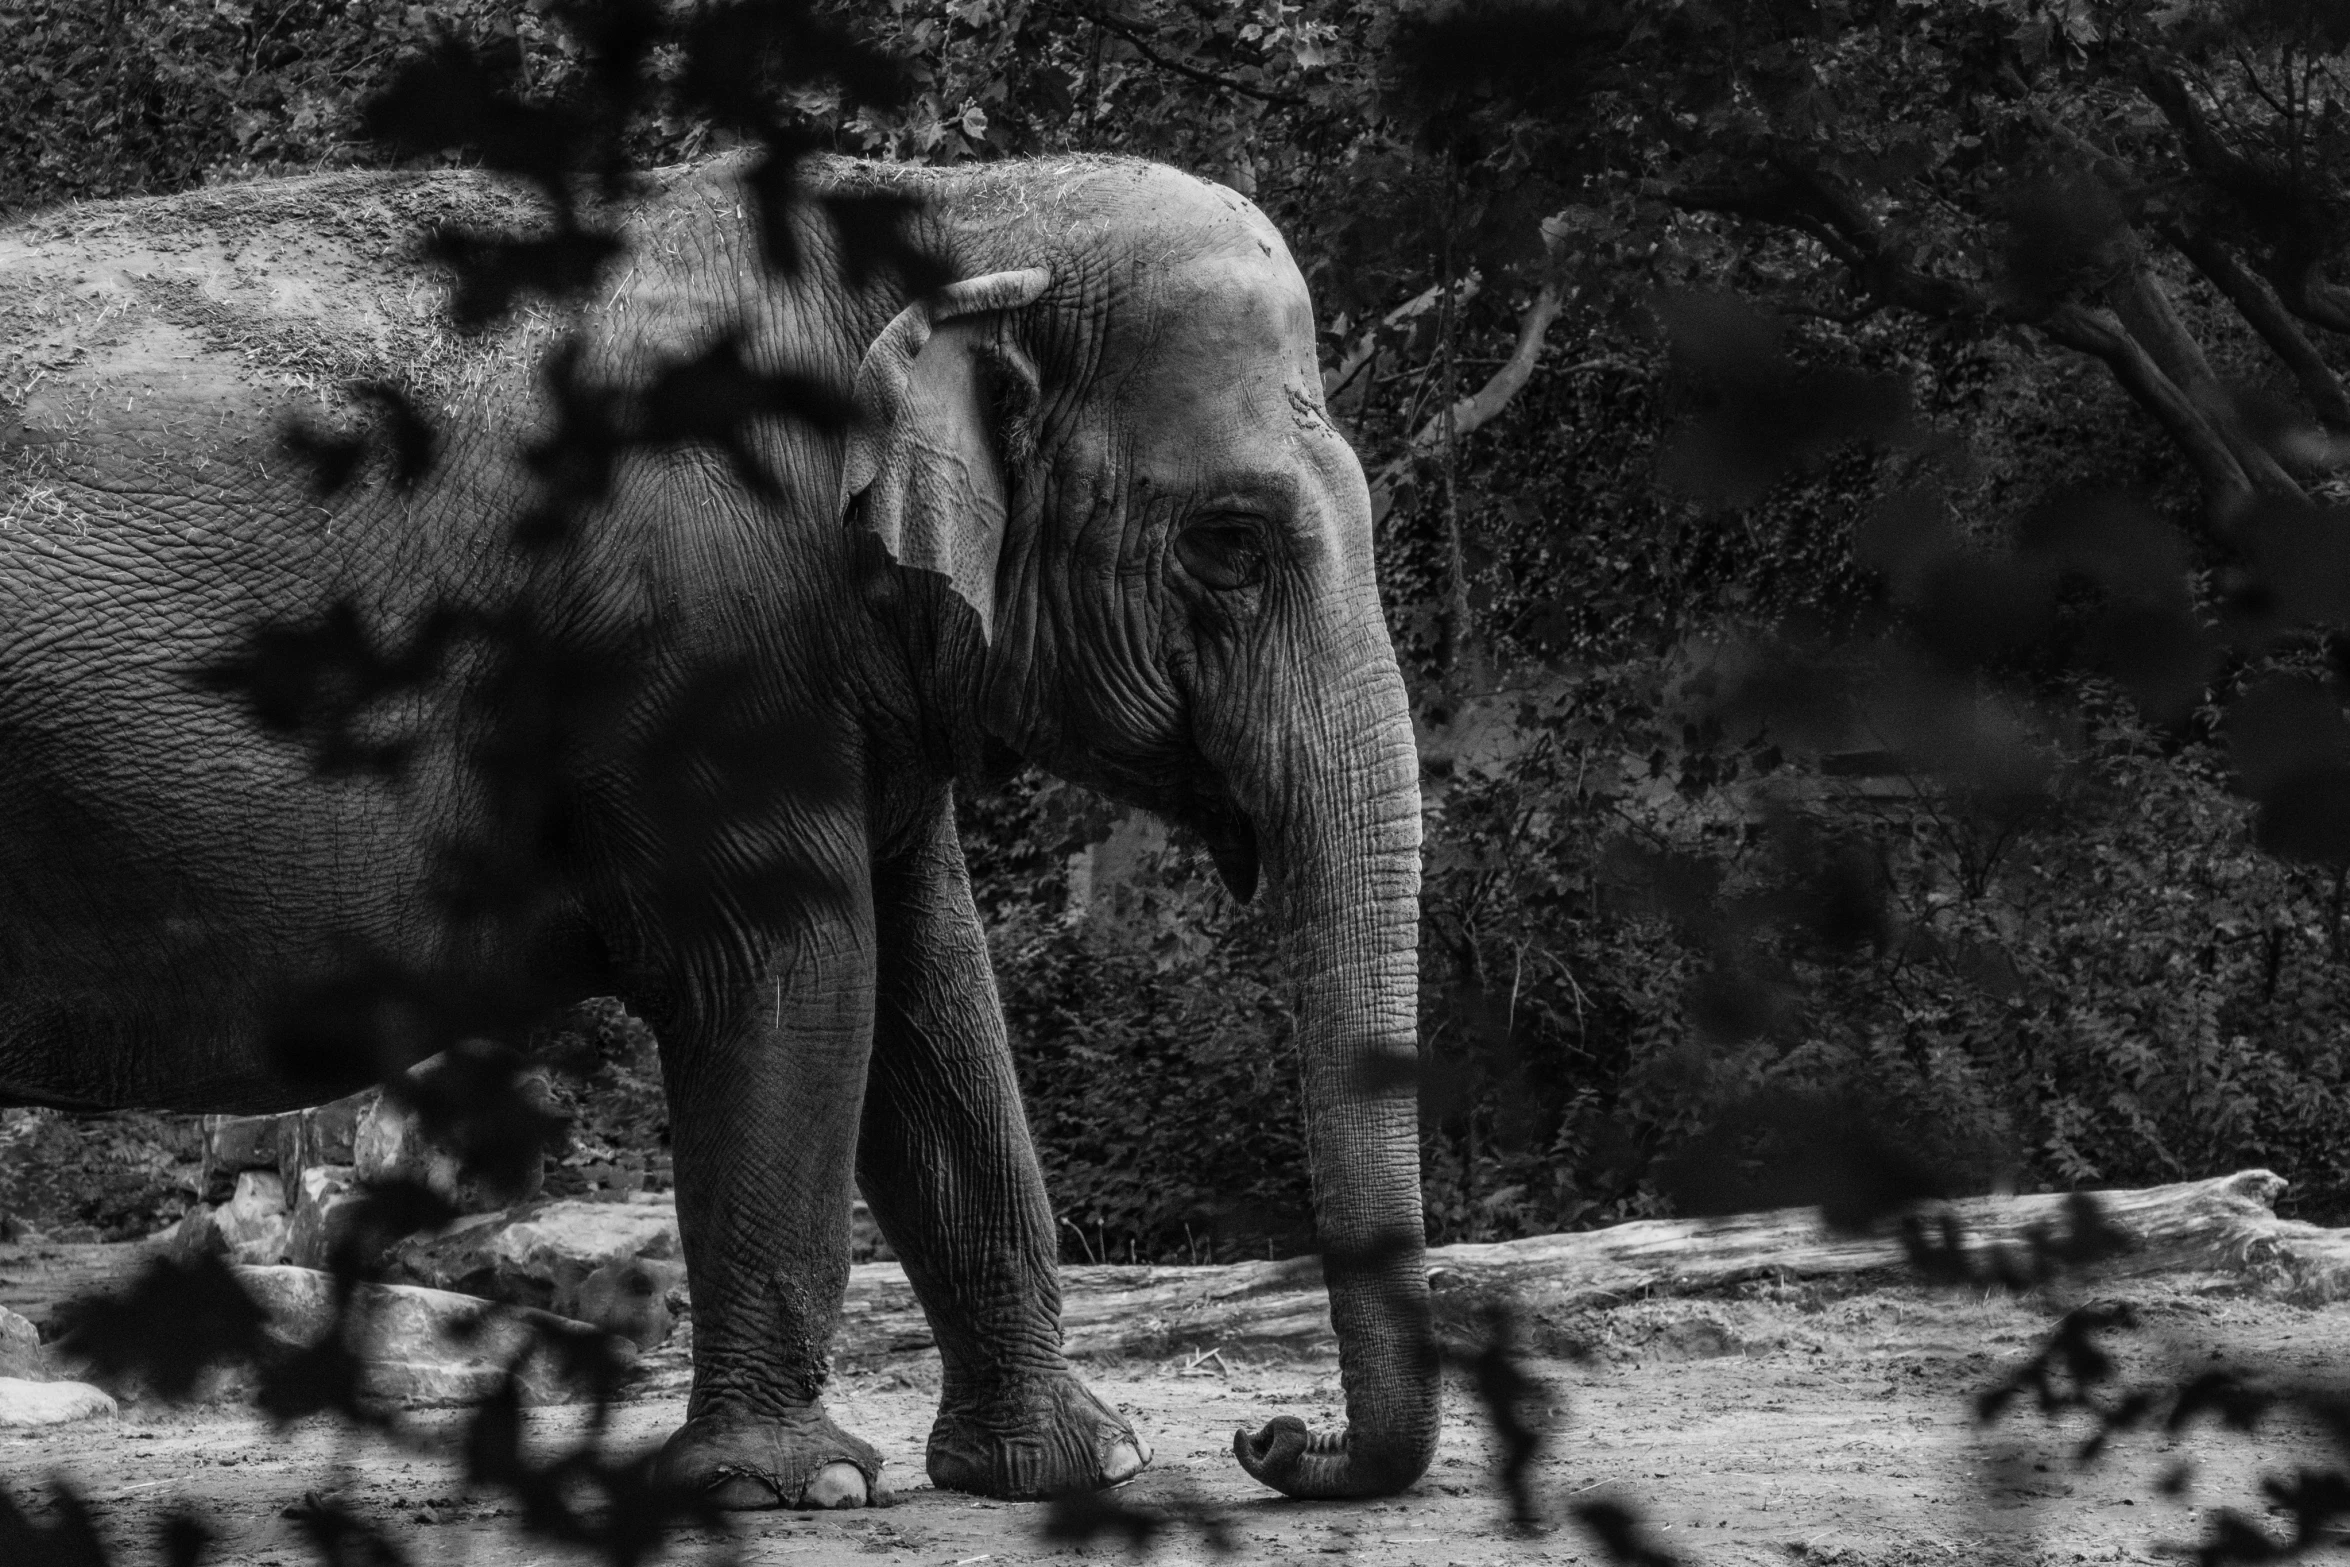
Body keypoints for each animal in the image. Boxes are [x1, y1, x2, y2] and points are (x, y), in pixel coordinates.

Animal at [0, 156, 1428, 1503]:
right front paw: (796, 1485)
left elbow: (933, 989)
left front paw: (1076, 1464)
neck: (952, 211)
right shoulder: (703, 632)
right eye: (1229, 542)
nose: (1266, 1434)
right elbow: (798, 971)